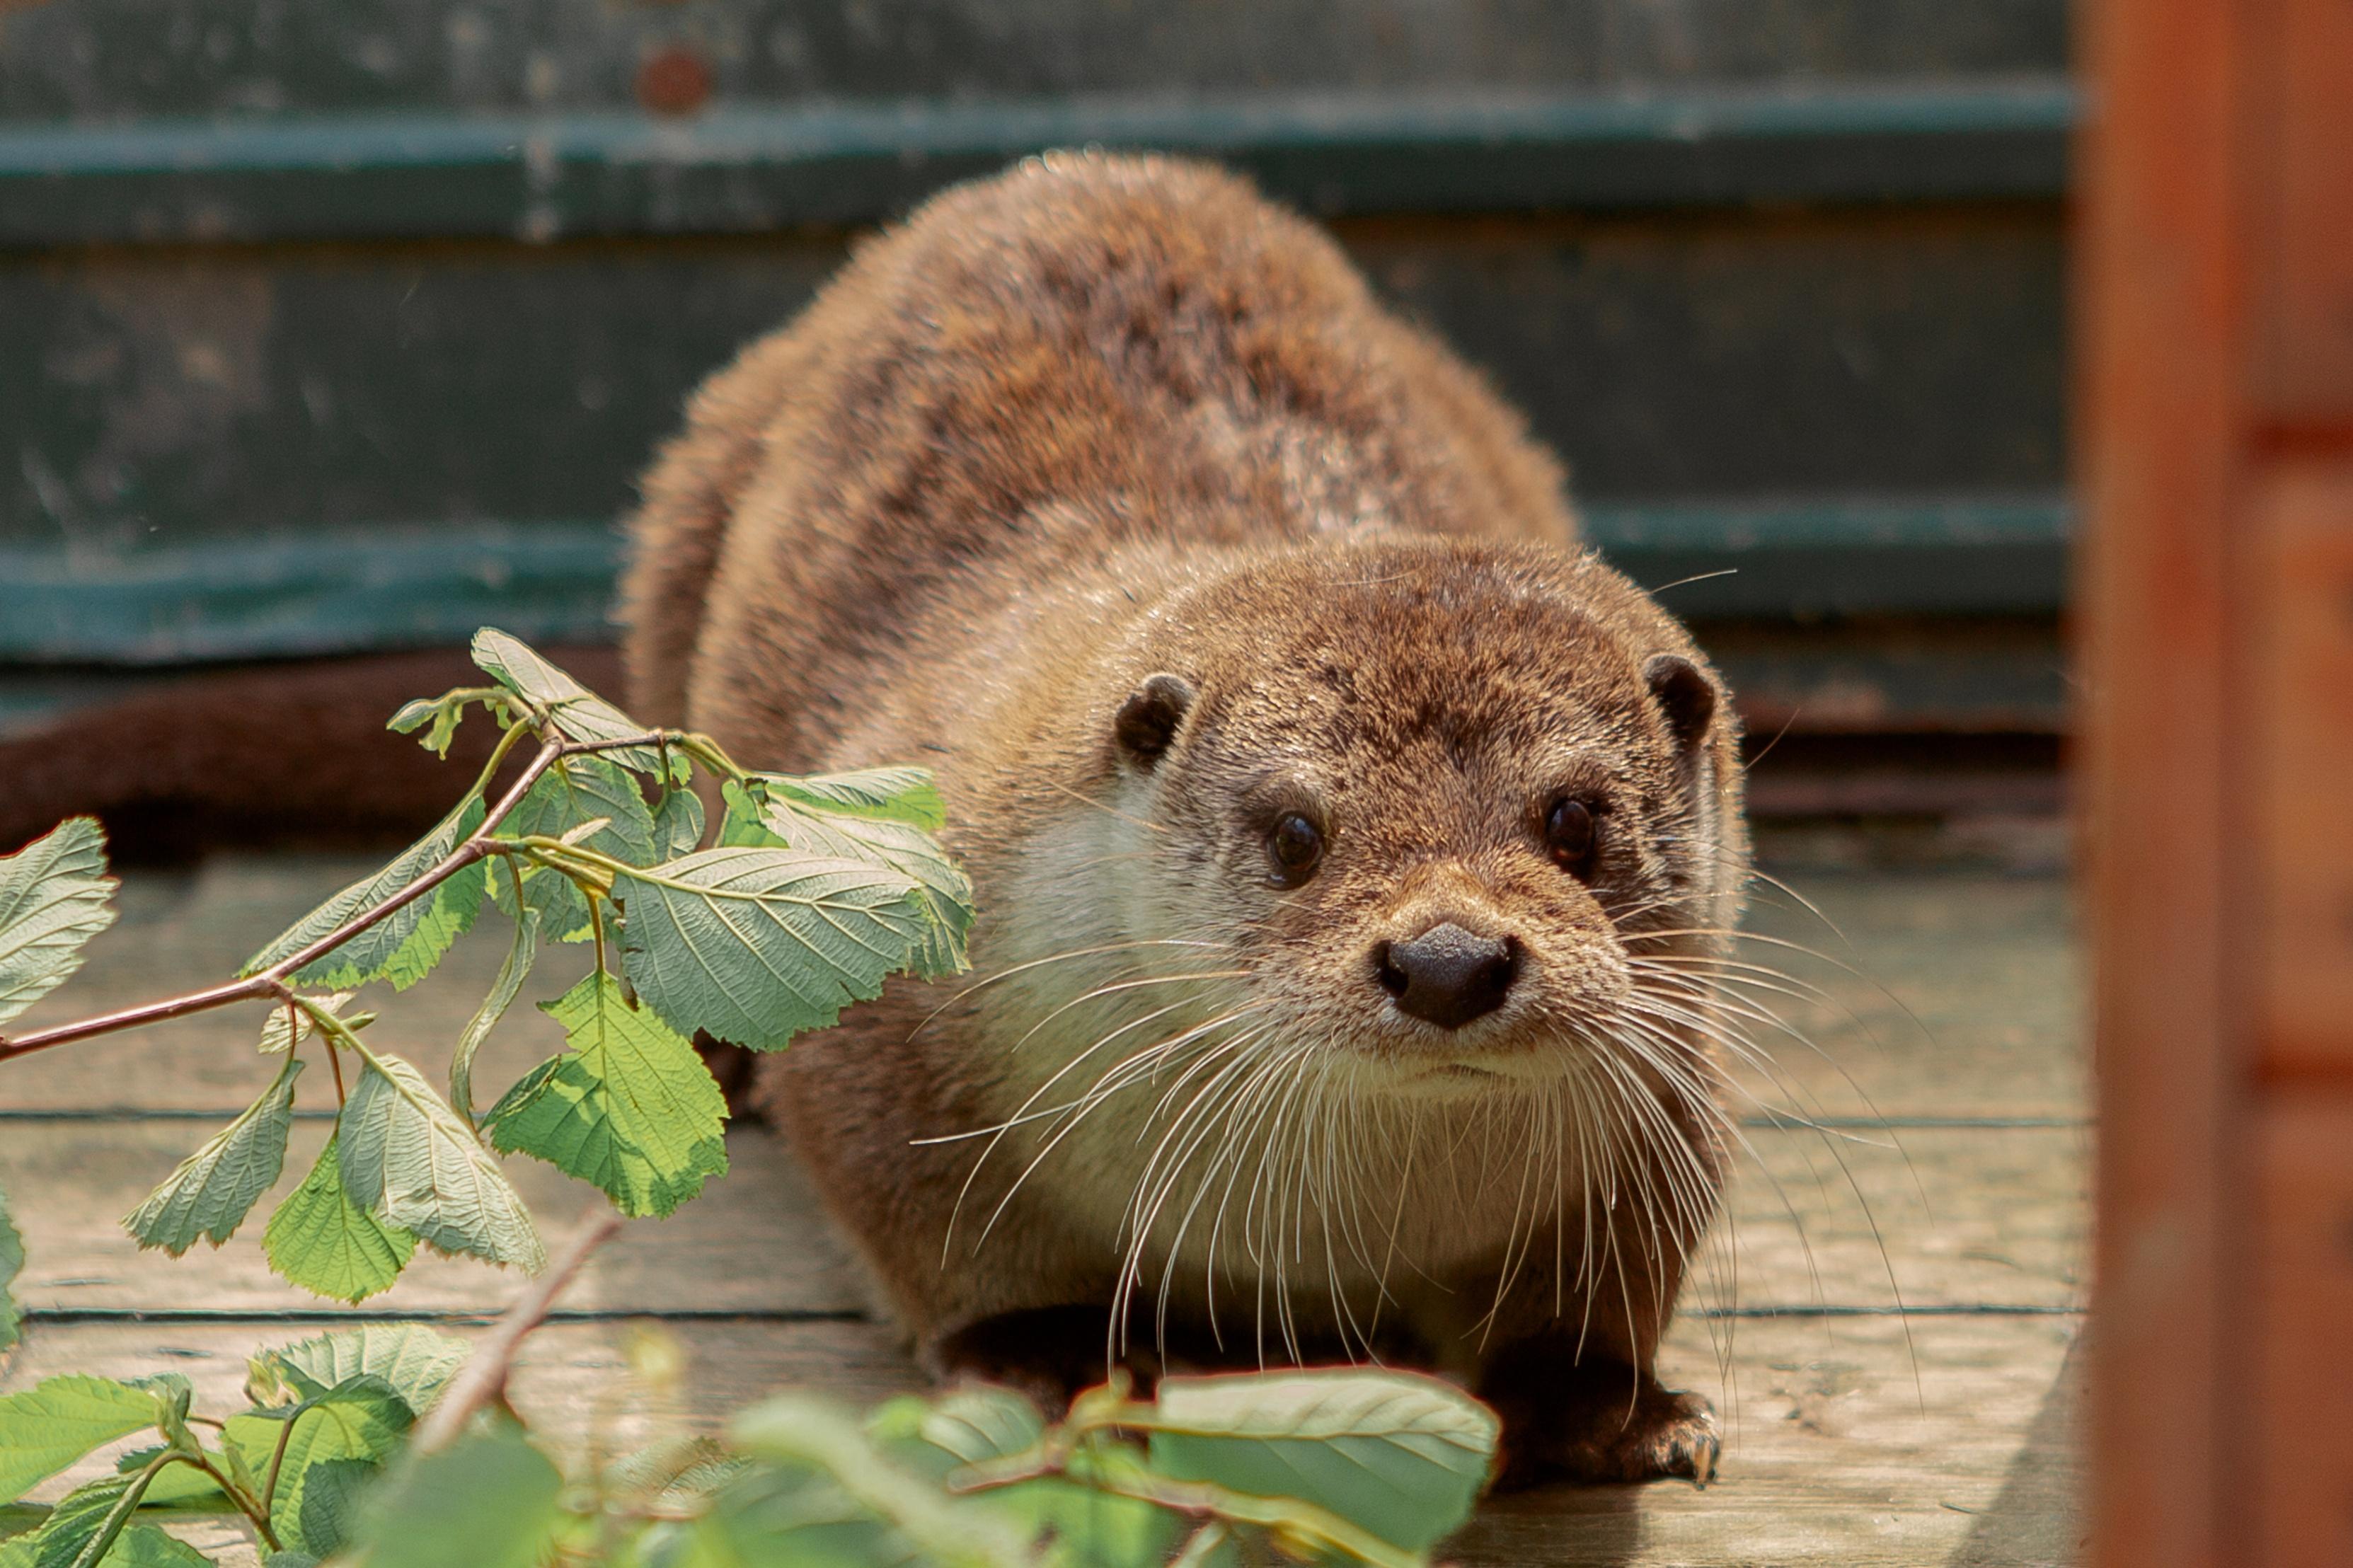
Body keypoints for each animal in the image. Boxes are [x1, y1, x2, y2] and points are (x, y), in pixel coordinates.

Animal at [621, 153, 1750, 1487]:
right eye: (1296, 833)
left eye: (1574, 817)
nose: (1448, 959)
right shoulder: (897, 994)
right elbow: (924, 1211)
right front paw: (1047, 1357)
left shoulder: (1670, 1094)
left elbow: (1621, 1266)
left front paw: (1600, 1401)